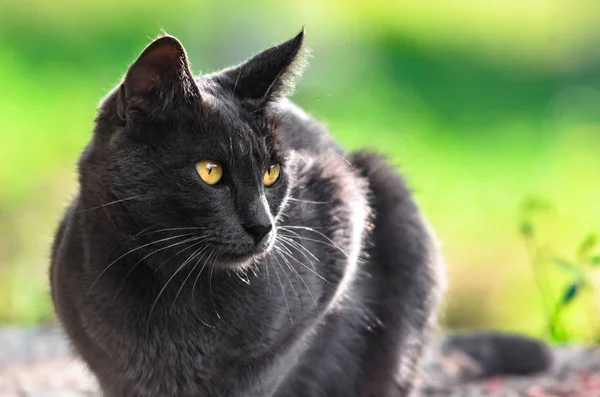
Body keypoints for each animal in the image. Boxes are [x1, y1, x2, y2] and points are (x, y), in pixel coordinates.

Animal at [50, 28, 548, 396]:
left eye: (272, 173)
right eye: (210, 171)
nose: (262, 225)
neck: (172, 290)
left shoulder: (342, 209)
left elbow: (267, 370)